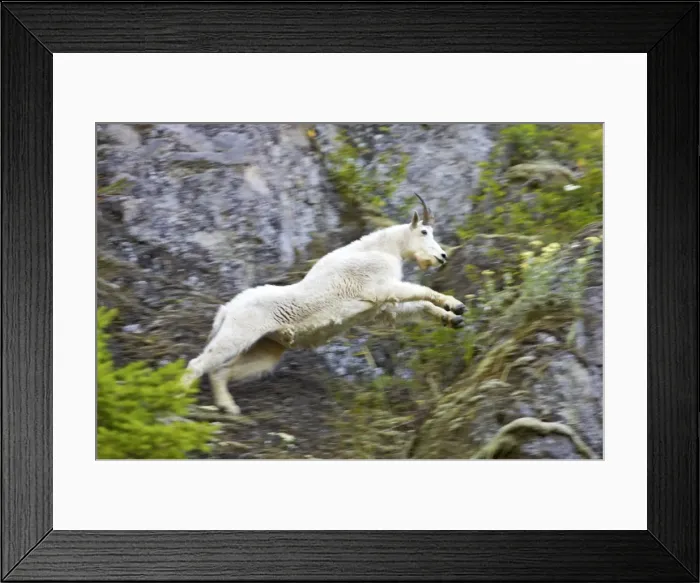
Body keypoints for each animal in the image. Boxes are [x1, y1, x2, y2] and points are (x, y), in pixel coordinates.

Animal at [181, 193, 467, 415]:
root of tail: (227, 309)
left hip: (265, 348)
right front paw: (455, 304)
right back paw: (179, 398)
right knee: (199, 364)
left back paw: (229, 407)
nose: (442, 256)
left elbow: (418, 307)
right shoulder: (380, 288)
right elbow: (422, 292)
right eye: (424, 231)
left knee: (221, 371)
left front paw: (454, 317)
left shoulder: (380, 307)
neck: (384, 250)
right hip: (238, 334)